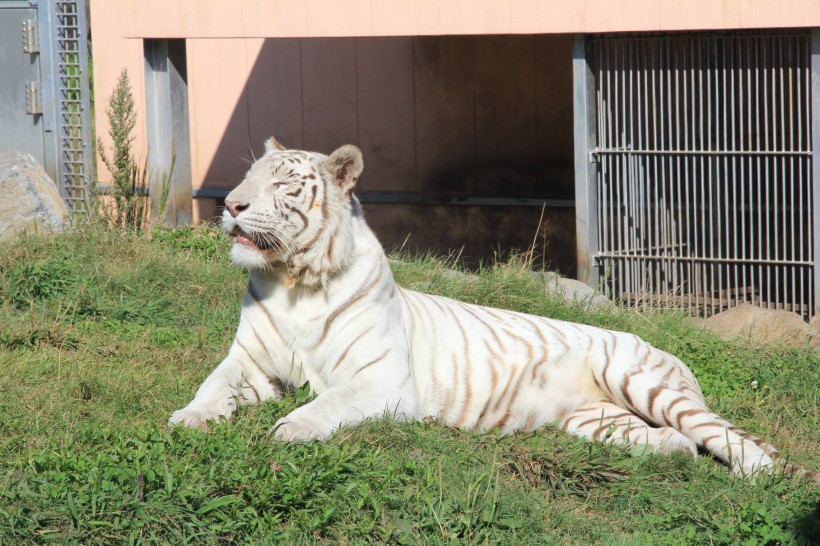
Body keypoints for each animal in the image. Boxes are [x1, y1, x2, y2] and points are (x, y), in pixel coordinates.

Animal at [171, 136, 808, 476]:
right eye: (250, 175)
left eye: (283, 184)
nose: (230, 204)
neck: (295, 281)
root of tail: (671, 352)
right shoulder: (250, 363)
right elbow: (213, 386)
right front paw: (189, 419)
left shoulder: (381, 382)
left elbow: (329, 402)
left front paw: (290, 429)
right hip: (596, 420)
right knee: (679, 443)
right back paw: (673, 458)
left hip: (644, 382)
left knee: (728, 436)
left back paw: (756, 476)